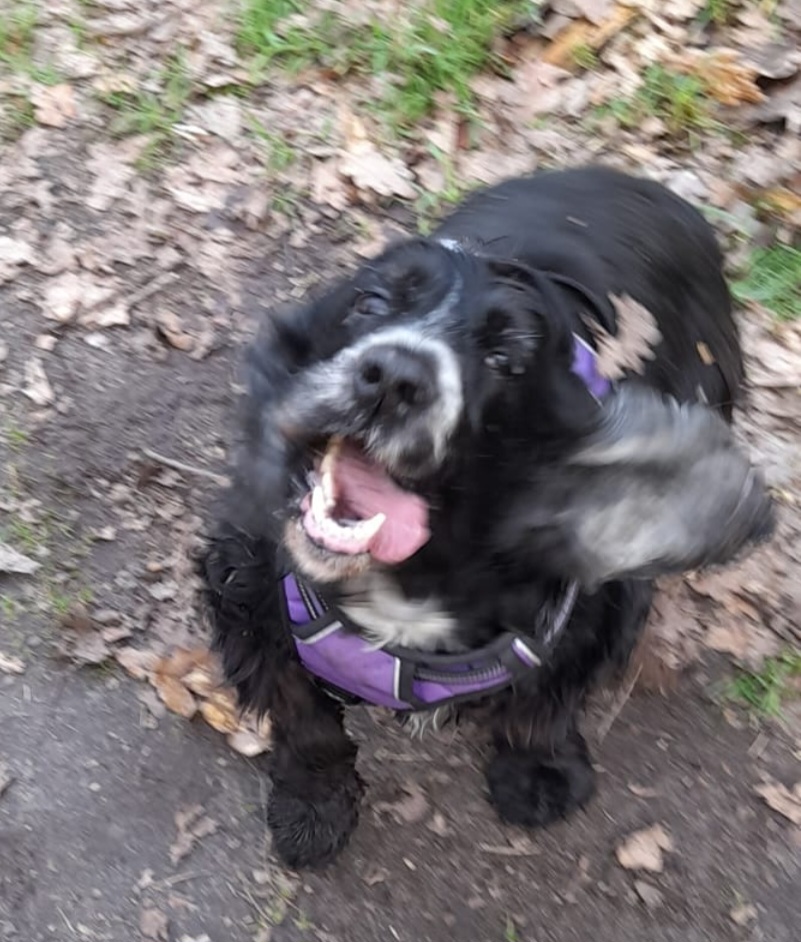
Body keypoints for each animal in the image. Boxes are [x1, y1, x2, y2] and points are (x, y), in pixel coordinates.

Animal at [200, 166, 774, 869]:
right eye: (370, 303)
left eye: (508, 361)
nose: (393, 378)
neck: (414, 583)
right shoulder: (249, 591)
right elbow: (307, 724)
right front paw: (313, 808)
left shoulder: (588, 607)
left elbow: (544, 706)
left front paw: (539, 773)